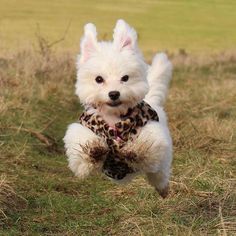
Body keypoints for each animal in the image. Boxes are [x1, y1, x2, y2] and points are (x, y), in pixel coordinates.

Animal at [63, 19, 172, 197]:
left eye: (125, 78)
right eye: (99, 79)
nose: (114, 93)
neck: (113, 116)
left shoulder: (153, 129)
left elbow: (147, 142)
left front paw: (134, 150)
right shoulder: (80, 129)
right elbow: (83, 146)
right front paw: (94, 149)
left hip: (161, 164)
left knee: (158, 173)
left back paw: (162, 188)